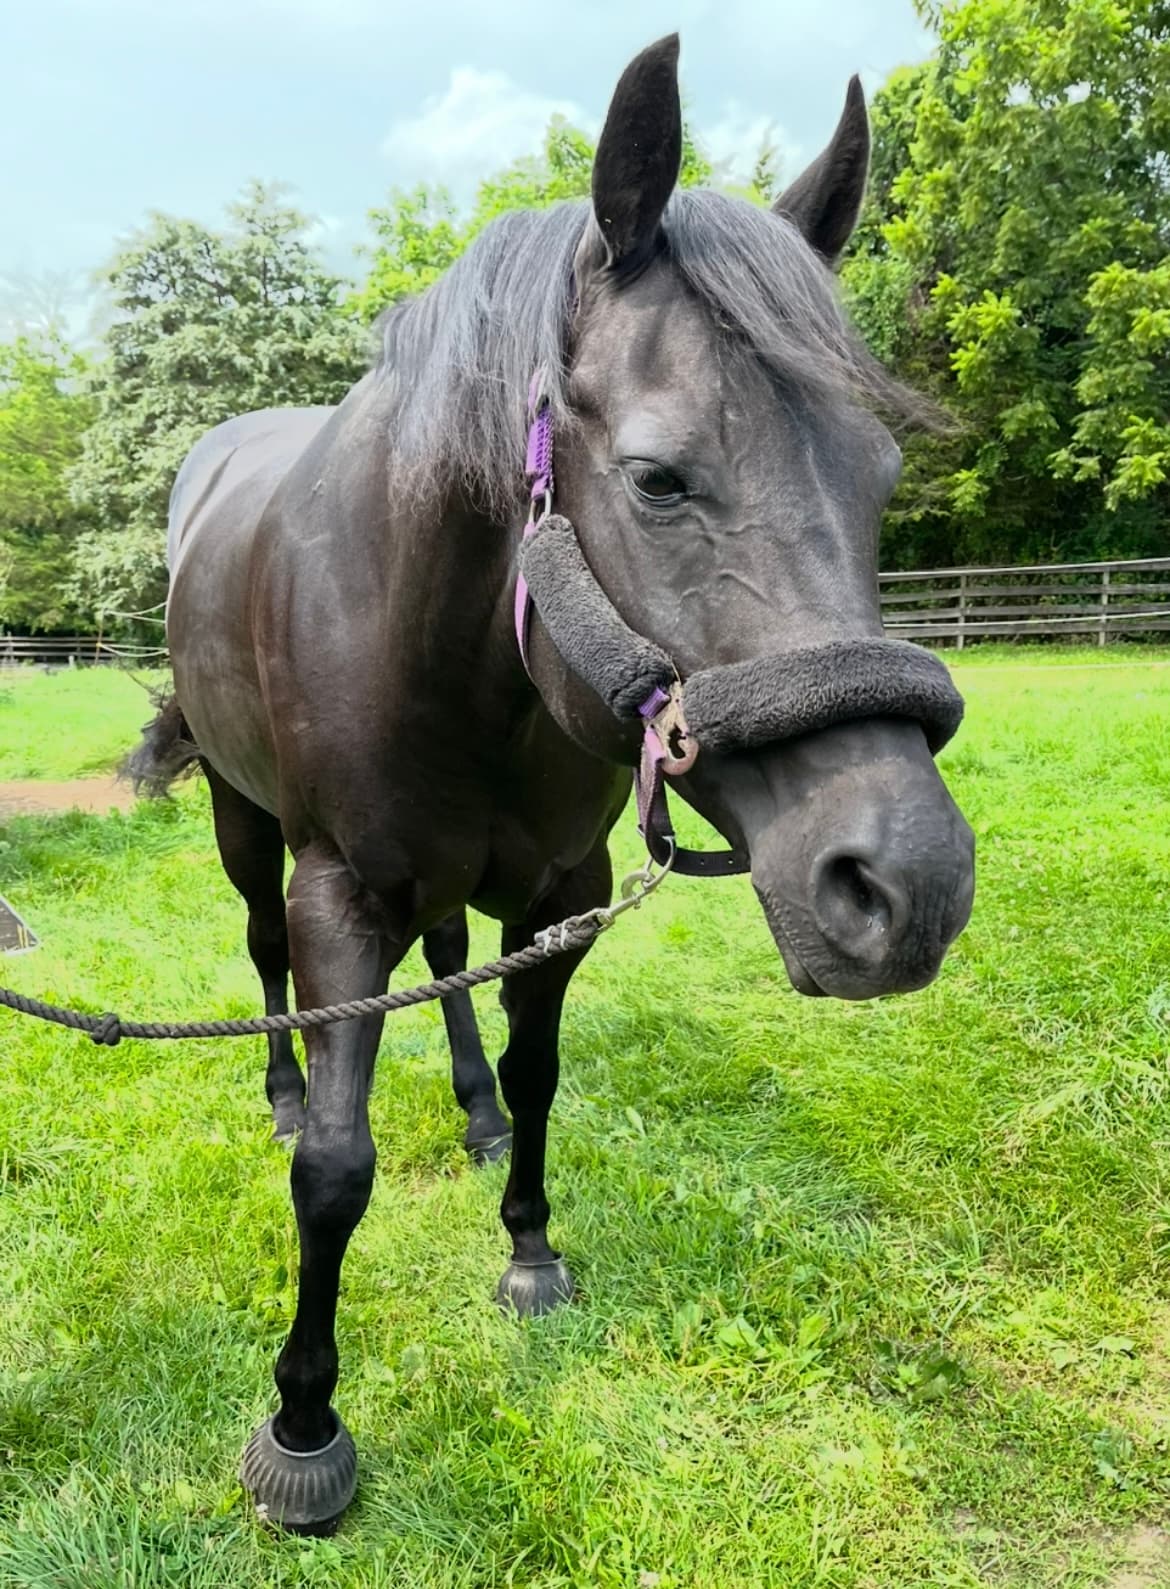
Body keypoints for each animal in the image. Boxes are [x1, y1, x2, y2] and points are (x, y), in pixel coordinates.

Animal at [133, 35, 975, 1533]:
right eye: (656, 480)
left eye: (879, 478)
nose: (907, 884)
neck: (444, 633)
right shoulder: (342, 890)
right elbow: (332, 1165)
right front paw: (302, 1423)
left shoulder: (555, 892)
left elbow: (536, 1075)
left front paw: (527, 1242)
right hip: (245, 824)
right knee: (263, 956)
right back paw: (280, 1081)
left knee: (446, 964)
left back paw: (464, 1109)